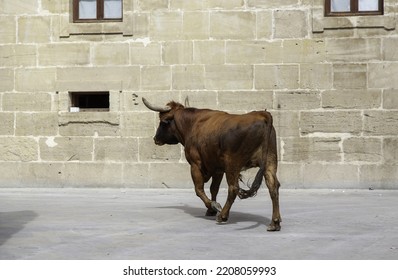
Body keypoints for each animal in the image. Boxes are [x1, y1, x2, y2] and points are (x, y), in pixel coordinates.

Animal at [141, 97, 282, 231]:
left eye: (163, 121)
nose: (156, 138)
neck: (193, 124)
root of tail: (261, 115)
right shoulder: (218, 168)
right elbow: (214, 188)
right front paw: (211, 209)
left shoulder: (195, 165)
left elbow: (199, 189)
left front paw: (214, 206)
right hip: (270, 162)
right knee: (273, 186)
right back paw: (275, 222)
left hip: (233, 164)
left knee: (233, 188)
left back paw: (223, 215)